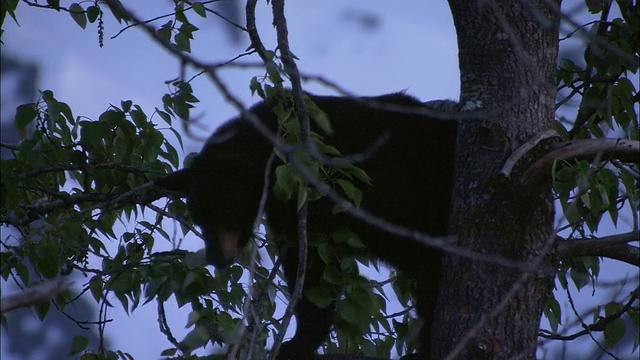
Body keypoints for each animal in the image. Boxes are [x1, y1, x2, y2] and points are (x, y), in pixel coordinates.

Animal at [157, 91, 458, 358]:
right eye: (199, 217)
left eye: (225, 213)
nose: (215, 256)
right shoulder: (292, 214)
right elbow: (311, 267)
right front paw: (300, 341)